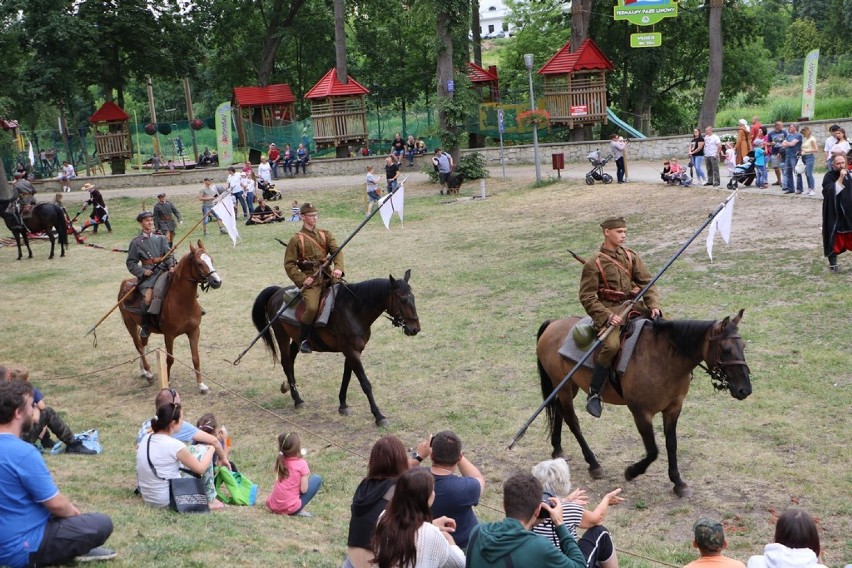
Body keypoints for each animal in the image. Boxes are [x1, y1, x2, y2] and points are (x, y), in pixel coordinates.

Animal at [117, 242, 221, 392]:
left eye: (211, 260)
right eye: (199, 263)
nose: (217, 281)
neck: (182, 302)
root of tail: (125, 283)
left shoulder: (194, 331)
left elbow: (196, 358)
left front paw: (201, 385)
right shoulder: (169, 335)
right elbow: (169, 359)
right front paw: (168, 381)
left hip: (145, 328)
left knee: (143, 344)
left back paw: (144, 371)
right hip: (129, 322)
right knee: (138, 346)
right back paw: (148, 373)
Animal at [251, 270, 422, 426]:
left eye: (413, 298)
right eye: (403, 299)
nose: (415, 329)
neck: (354, 310)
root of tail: (278, 292)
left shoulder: (353, 351)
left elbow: (346, 377)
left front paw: (343, 405)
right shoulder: (351, 352)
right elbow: (365, 383)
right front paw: (378, 416)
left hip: (296, 339)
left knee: (291, 361)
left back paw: (289, 388)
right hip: (282, 336)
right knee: (286, 362)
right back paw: (297, 399)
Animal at [540, 310, 752, 496]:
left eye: (743, 347)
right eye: (725, 350)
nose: (745, 390)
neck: (664, 360)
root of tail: (553, 324)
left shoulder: (673, 409)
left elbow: (671, 444)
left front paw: (678, 482)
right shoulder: (641, 412)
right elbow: (653, 451)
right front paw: (631, 472)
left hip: (568, 386)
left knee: (558, 410)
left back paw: (557, 448)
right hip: (564, 386)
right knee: (572, 420)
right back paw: (593, 463)